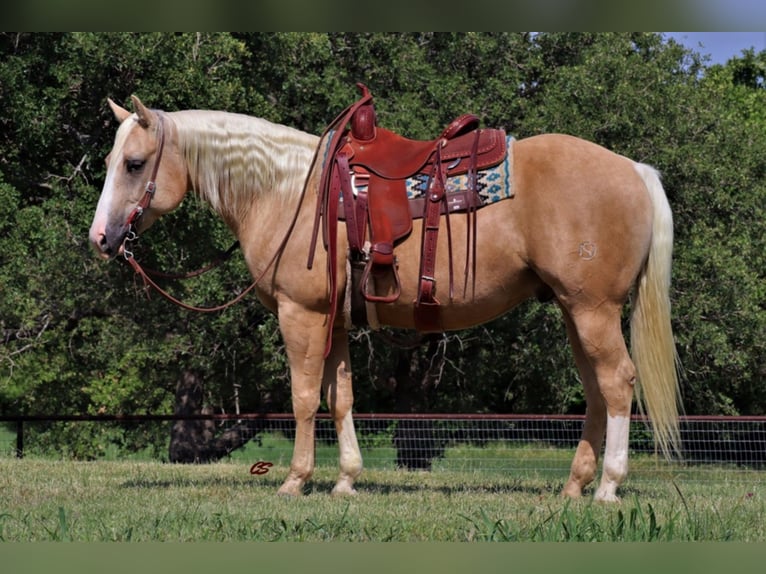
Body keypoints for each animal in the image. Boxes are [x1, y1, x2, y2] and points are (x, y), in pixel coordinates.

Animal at [90, 95, 684, 504]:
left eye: (135, 164)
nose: (100, 238)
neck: (285, 192)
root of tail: (635, 171)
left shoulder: (301, 315)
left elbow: (303, 398)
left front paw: (296, 481)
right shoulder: (334, 322)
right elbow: (341, 398)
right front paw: (346, 480)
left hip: (592, 310)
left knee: (617, 382)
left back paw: (608, 487)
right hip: (573, 310)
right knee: (596, 391)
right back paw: (574, 486)